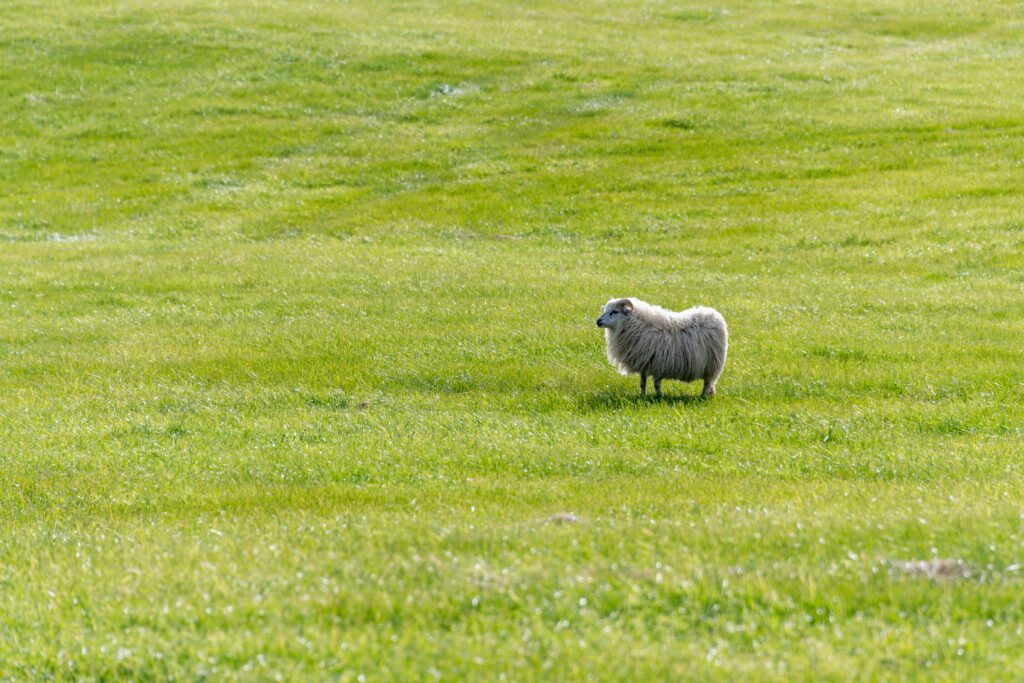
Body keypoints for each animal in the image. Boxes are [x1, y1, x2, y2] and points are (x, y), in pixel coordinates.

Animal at [595, 297, 728, 398]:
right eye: (605, 309)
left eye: (614, 312)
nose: (598, 321)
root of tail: (715, 314)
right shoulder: (644, 363)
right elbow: (642, 383)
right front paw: (642, 397)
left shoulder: (658, 364)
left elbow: (656, 384)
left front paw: (660, 397)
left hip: (711, 365)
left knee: (707, 383)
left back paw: (702, 397)